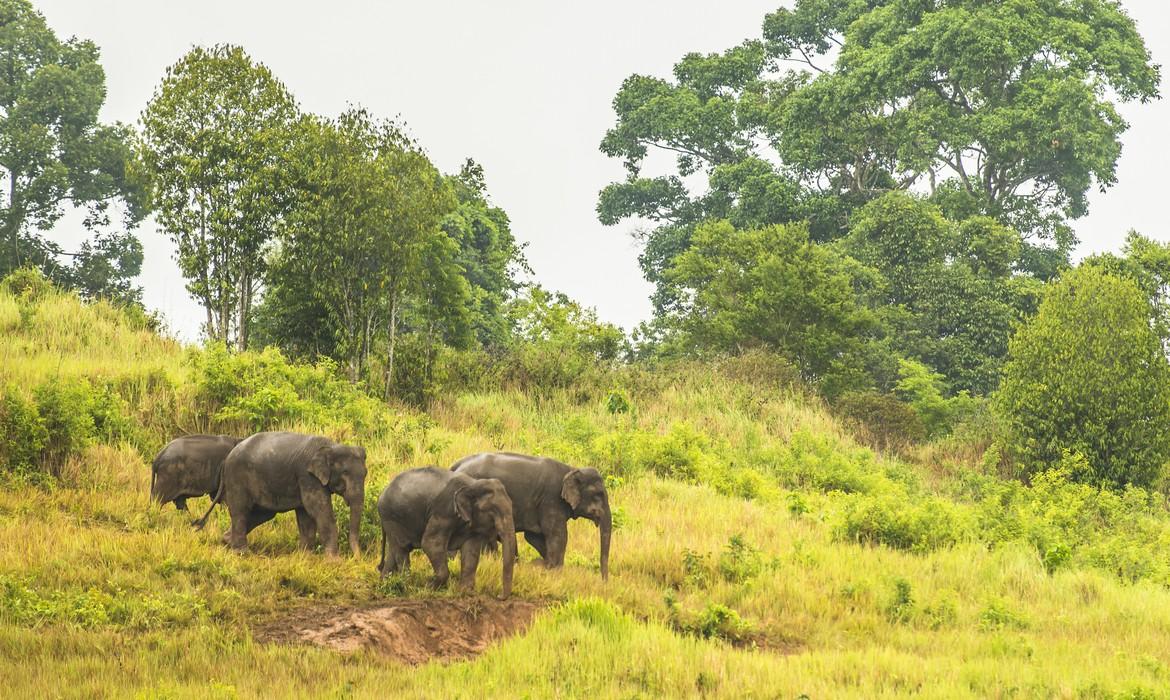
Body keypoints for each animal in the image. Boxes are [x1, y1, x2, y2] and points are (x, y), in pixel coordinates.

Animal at [194, 433, 365, 559]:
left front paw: (305, 557)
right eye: (345, 473)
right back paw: (242, 553)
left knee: (260, 514)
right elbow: (319, 509)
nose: (357, 558)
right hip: (237, 479)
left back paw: (226, 541)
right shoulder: (307, 476)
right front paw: (334, 561)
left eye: (365, 474)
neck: (332, 446)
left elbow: (305, 515)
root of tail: (226, 459)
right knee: (241, 512)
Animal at [379, 468, 517, 599]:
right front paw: (428, 587)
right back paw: (407, 587)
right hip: (391, 518)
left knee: (394, 550)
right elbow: (430, 543)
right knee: (402, 548)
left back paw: (385, 586)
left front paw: (466, 592)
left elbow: (471, 550)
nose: (498, 596)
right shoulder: (444, 511)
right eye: (493, 512)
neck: (473, 484)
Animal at [449, 456, 613, 580]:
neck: (571, 469)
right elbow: (558, 535)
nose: (604, 582)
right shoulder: (551, 500)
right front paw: (555, 572)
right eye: (598, 494)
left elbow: (534, 537)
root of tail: (455, 466)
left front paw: (547, 567)